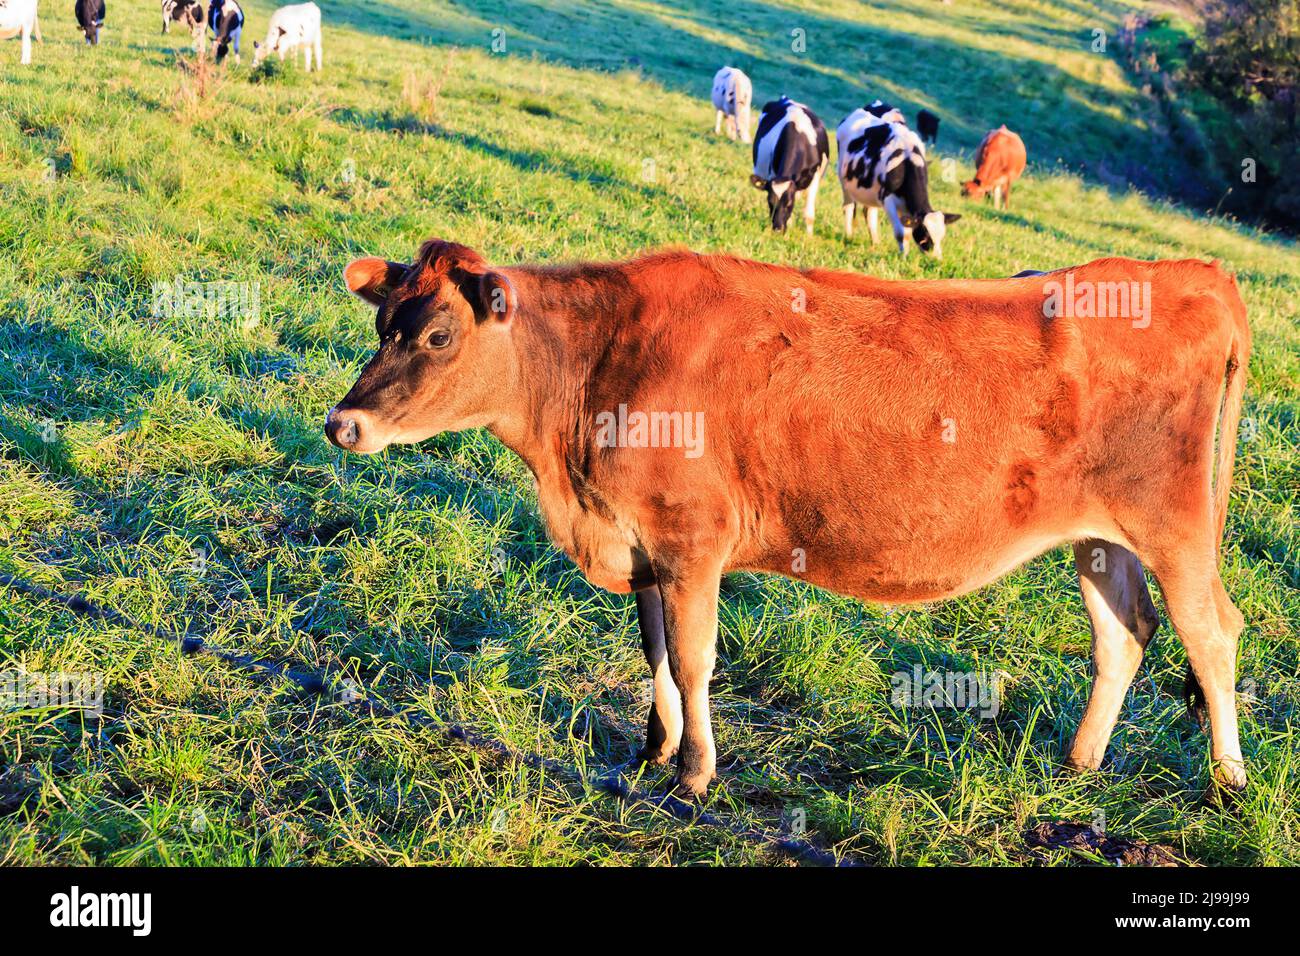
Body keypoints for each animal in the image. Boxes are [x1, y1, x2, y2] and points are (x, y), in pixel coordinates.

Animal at [325, 239, 1248, 801]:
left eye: (438, 335)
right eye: (382, 322)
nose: (343, 424)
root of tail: (1197, 273)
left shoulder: (691, 537)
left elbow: (694, 658)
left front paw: (695, 772)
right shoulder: (644, 541)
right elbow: (655, 652)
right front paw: (653, 750)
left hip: (1174, 524)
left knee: (1211, 631)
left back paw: (1229, 781)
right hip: (1097, 534)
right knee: (1125, 633)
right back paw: (1080, 765)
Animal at [748, 96, 826, 234]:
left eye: (789, 203)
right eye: (770, 202)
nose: (778, 229)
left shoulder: (815, 176)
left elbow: (809, 214)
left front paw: (809, 236)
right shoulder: (773, 173)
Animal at [837, 102, 961, 257]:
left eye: (942, 236)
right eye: (926, 235)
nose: (936, 259)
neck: (907, 160)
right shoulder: (888, 199)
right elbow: (901, 233)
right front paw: (904, 256)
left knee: (869, 212)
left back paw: (875, 242)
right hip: (844, 182)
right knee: (848, 207)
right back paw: (849, 236)